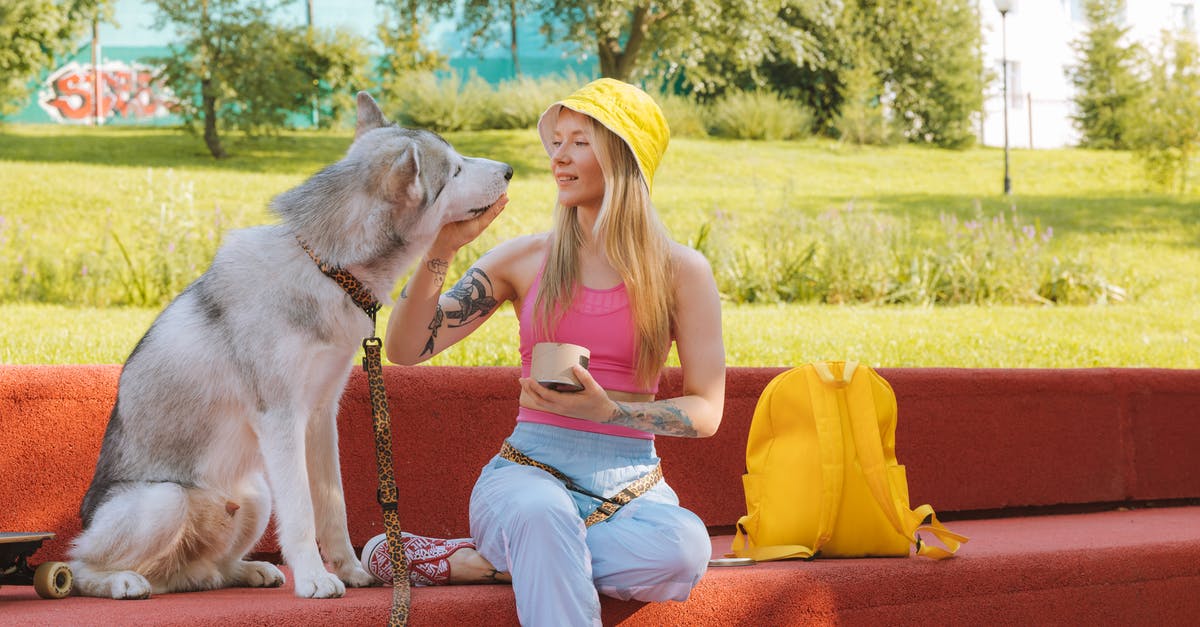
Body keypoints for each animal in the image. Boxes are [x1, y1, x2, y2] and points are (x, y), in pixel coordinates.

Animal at [70, 91, 511, 595]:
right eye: (455, 170)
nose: (509, 170)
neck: (328, 269)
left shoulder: (320, 416)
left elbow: (332, 506)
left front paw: (349, 570)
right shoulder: (280, 419)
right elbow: (301, 512)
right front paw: (316, 579)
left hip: (255, 494)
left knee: (207, 571)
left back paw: (244, 570)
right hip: (165, 502)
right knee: (81, 564)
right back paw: (118, 581)